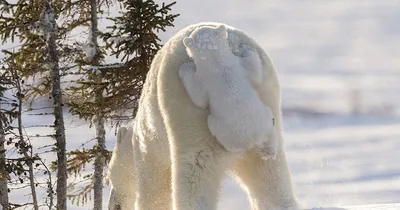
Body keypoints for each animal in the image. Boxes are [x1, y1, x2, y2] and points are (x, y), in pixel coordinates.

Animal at [178, 24, 278, 158]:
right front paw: (246, 48)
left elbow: (199, 99)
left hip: (222, 129)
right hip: (265, 120)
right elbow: (255, 74)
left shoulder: (204, 79)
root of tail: (254, 139)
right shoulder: (240, 66)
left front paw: (184, 68)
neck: (218, 63)